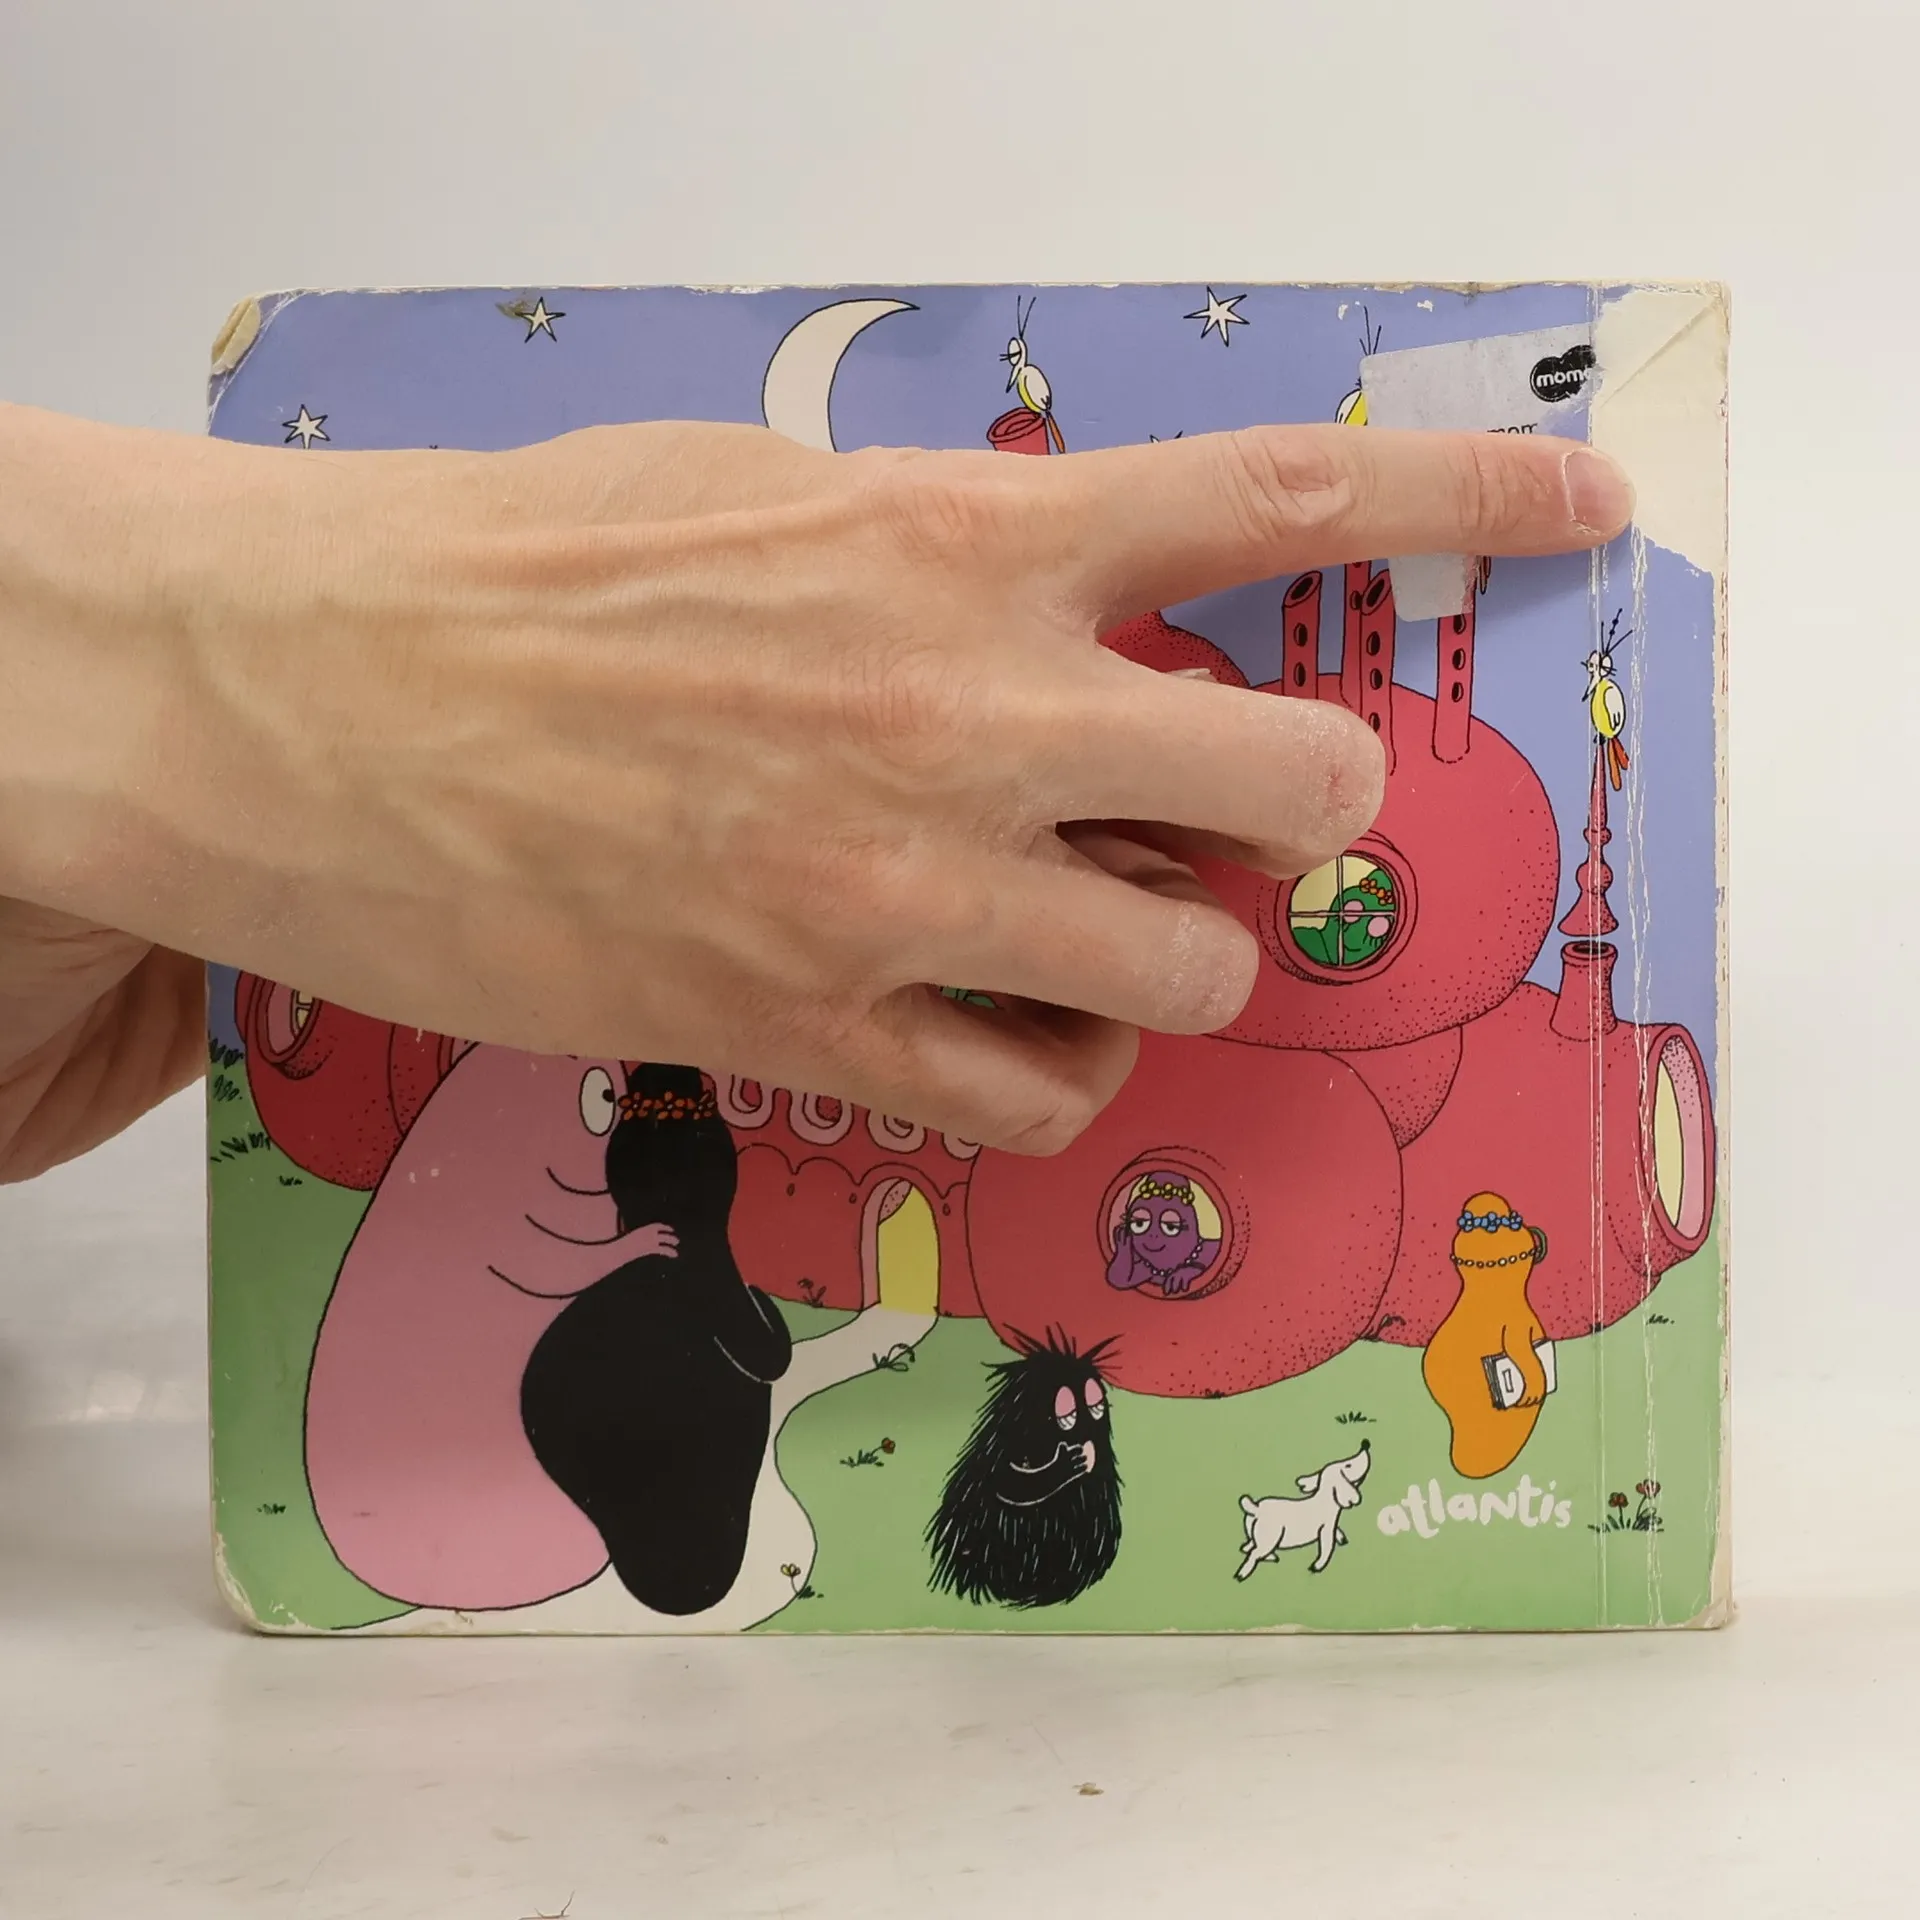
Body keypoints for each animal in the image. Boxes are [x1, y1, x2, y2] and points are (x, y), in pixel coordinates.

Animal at [1235, 1440, 1372, 1578]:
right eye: (1348, 1465)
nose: (1365, 1443)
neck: (1326, 1500)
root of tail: (1255, 1508)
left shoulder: (1332, 1524)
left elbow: (1336, 1531)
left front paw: (1343, 1540)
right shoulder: (1326, 1527)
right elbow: (1327, 1545)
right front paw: (1316, 1567)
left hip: (1252, 1531)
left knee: (1247, 1547)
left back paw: (1272, 1557)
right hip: (1269, 1536)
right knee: (1254, 1552)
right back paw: (1241, 1575)